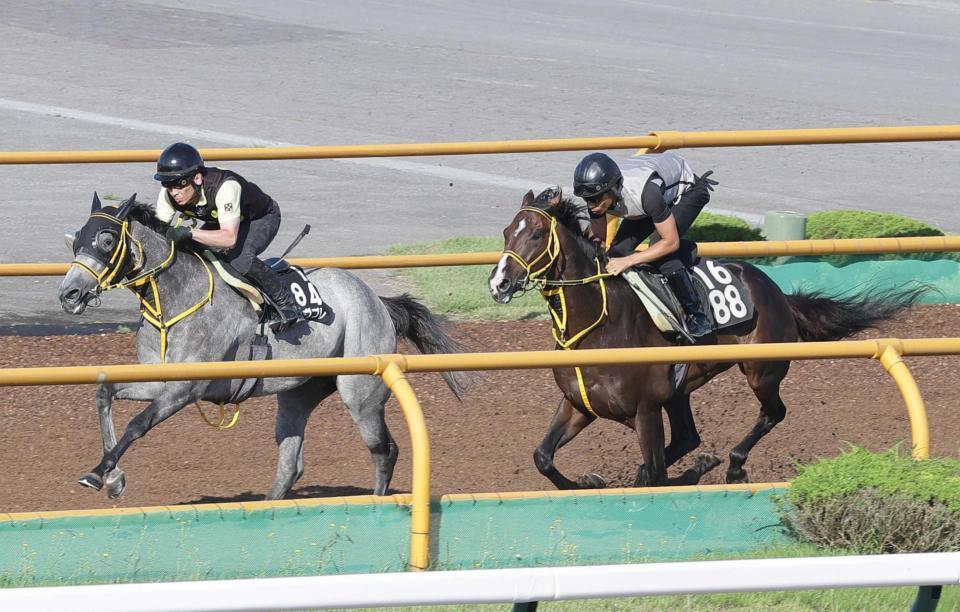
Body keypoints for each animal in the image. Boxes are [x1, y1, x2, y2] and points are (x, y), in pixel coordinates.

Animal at [57, 194, 472, 500]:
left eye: (106, 240)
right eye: (76, 239)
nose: (69, 294)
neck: (175, 299)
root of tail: (377, 299)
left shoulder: (183, 390)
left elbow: (137, 424)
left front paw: (99, 474)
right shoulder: (160, 380)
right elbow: (105, 394)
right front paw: (113, 478)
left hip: (361, 393)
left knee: (384, 450)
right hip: (298, 393)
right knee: (291, 462)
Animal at [492, 190, 920, 488]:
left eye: (535, 234)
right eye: (506, 232)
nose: (498, 283)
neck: (599, 326)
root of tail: (776, 291)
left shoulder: (645, 410)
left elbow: (654, 473)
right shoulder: (580, 404)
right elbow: (543, 457)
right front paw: (588, 481)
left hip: (762, 371)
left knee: (772, 413)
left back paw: (732, 465)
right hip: (681, 391)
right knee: (686, 438)